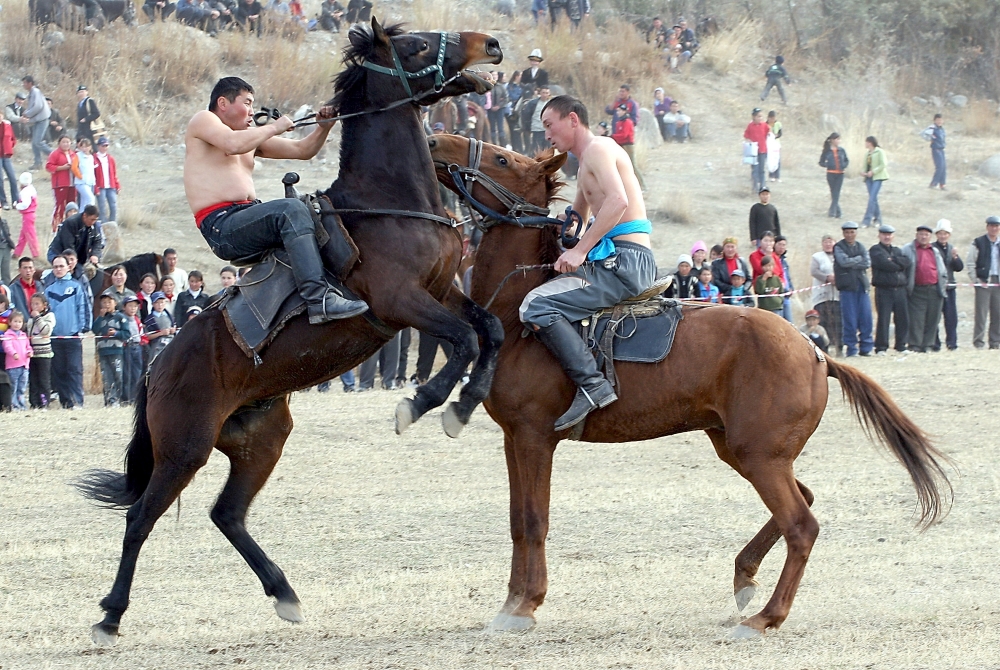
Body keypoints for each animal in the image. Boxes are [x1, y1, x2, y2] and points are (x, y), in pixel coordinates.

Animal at [76, 21, 508, 648]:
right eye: (416, 46)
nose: (491, 45)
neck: (388, 203)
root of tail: (157, 368)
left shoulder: (443, 292)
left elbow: (489, 330)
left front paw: (465, 404)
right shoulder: (402, 303)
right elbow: (464, 342)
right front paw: (424, 403)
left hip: (262, 439)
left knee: (227, 514)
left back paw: (284, 592)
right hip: (184, 448)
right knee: (141, 518)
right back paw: (110, 614)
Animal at [424, 133, 952, 640]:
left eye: (502, 159)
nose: (434, 141)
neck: (518, 320)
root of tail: (813, 351)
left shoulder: (535, 438)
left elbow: (534, 520)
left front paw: (525, 605)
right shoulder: (515, 439)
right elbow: (517, 520)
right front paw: (512, 603)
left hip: (759, 455)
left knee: (801, 525)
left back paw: (764, 618)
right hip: (742, 449)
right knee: (803, 500)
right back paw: (744, 577)